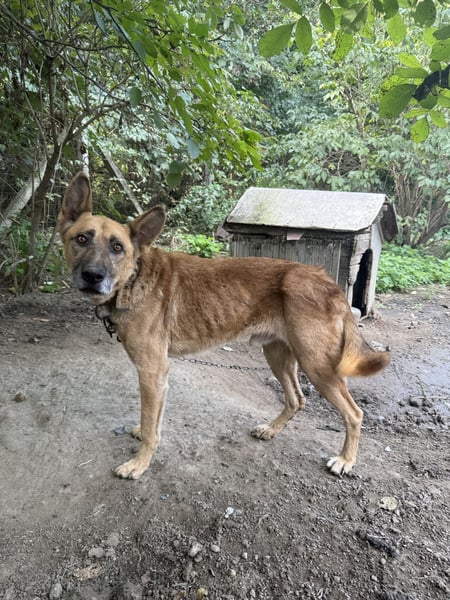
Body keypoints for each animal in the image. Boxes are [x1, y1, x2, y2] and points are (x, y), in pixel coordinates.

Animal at [58, 172, 390, 480]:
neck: (133, 280)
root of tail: (327, 281)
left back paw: (345, 460)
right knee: (297, 399)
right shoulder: (157, 376)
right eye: (82, 239)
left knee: (354, 413)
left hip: (317, 365)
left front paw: (139, 464)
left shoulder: (153, 370)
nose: (93, 276)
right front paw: (143, 433)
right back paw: (271, 430)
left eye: (117, 247)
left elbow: (153, 428)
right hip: (279, 356)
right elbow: (154, 420)